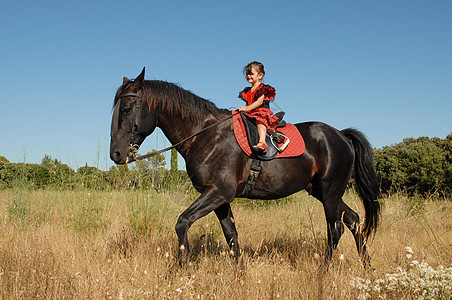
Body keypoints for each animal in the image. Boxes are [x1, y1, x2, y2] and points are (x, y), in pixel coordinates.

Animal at [110, 67, 382, 268]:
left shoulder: (217, 192)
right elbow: (231, 234)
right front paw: (240, 272)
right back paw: (368, 266)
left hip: (330, 191)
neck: (204, 135)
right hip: (321, 191)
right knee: (354, 220)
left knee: (335, 229)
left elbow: (182, 222)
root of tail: (341, 135)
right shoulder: (219, 198)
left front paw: (182, 266)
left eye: (126, 109)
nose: (116, 154)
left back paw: (323, 271)